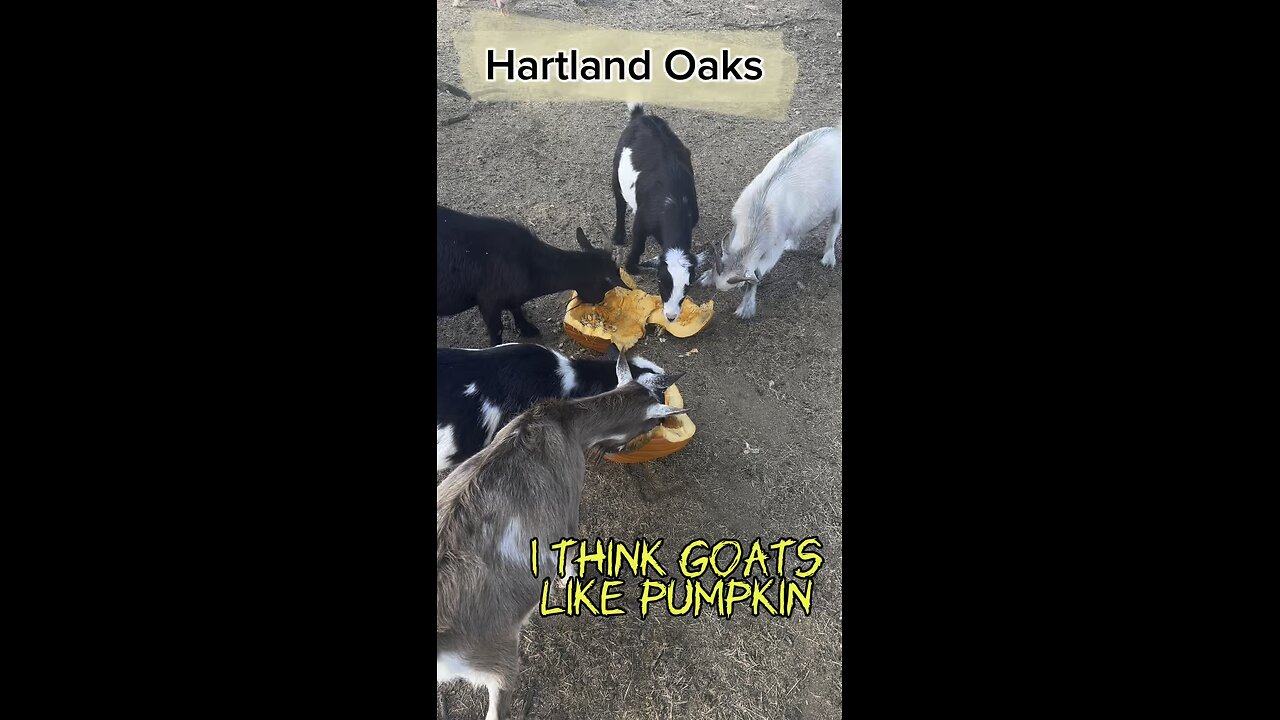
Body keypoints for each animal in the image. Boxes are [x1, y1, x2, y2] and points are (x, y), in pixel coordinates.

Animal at [438, 205, 628, 346]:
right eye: (606, 285)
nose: (598, 301)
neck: (527, 263)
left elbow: (516, 308)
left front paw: (527, 329)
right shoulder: (488, 301)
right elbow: (497, 330)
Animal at [611, 102, 704, 322]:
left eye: (686, 289)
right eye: (662, 283)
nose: (671, 316)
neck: (673, 203)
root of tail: (642, 117)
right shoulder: (642, 222)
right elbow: (638, 246)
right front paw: (632, 267)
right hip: (616, 169)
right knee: (619, 202)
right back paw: (618, 236)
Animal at [699, 123, 843, 319]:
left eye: (738, 285)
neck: (759, 212)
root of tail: (837, 132)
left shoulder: (774, 248)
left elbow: (758, 274)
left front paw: (746, 308)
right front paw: (706, 277)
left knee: (835, 225)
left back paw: (828, 258)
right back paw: (794, 243)